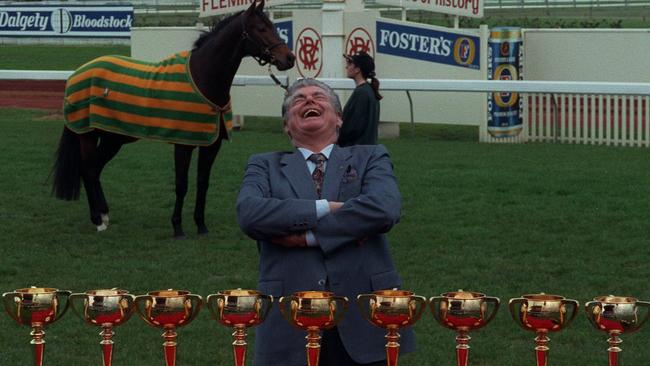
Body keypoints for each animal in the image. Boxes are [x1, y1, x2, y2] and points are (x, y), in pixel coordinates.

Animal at [52, 0, 294, 237]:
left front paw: (201, 225)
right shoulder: (183, 143)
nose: (289, 58)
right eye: (261, 28)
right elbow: (181, 184)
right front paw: (177, 227)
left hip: (115, 137)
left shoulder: (211, 144)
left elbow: (203, 182)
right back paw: (97, 219)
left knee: (96, 169)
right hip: (88, 135)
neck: (203, 78)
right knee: (89, 170)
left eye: (273, 27)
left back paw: (103, 215)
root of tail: (78, 73)